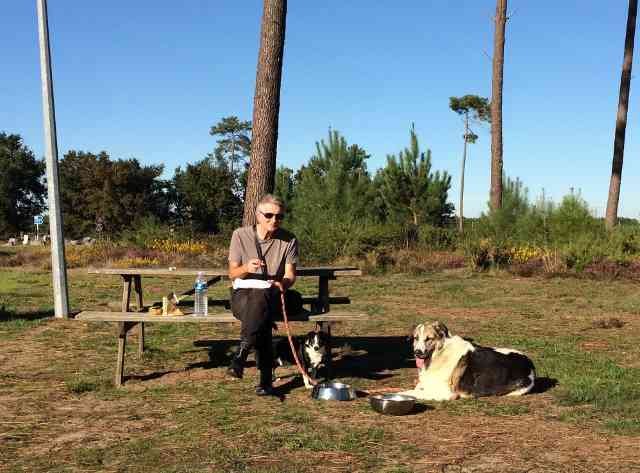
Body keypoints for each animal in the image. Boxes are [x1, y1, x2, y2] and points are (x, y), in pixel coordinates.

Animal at [400, 318, 536, 400]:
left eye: (429, 339)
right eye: (416, 338)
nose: (417, 353)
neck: (439, 354)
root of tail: (530, 365)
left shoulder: (447, 393)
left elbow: (412, 392)